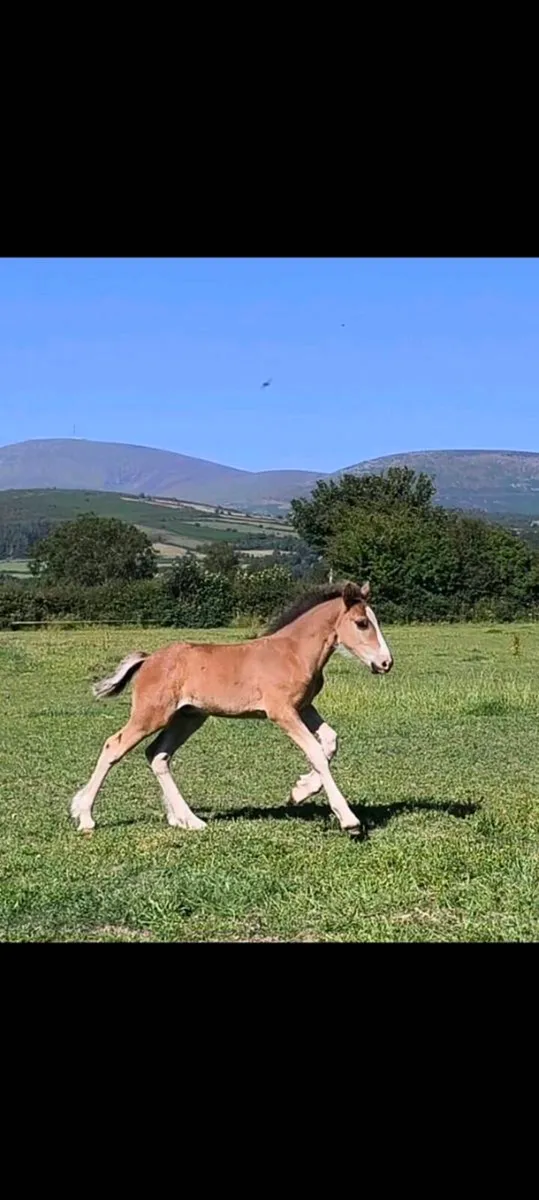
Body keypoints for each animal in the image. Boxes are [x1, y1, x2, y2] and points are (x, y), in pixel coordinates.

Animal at [70, 580, 393, 838]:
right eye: (362, 623)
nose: (386, 662)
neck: (293, 652)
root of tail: (148, 659)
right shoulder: (282, 711)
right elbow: (315, 751)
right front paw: (349, 820)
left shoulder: (304, 707)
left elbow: (330, 741)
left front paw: (299, 791)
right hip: (151, 715)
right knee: (114, 746)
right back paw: (85, 817)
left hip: (188, 718)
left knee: (158, 755)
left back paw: (187, 820)